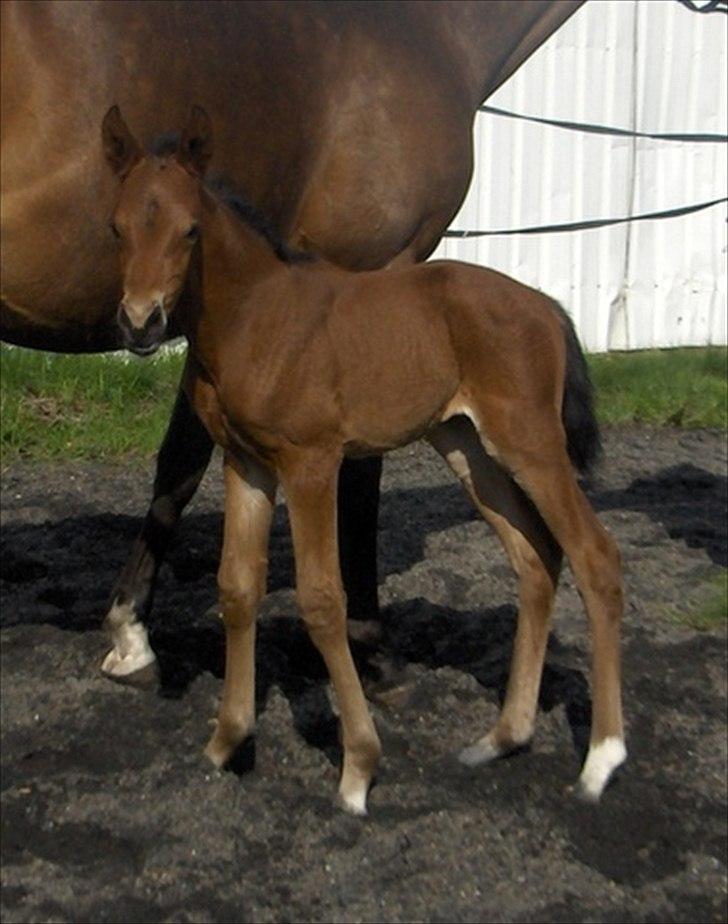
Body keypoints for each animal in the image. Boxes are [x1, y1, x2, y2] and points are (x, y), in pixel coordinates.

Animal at [0, 0, 580, 680]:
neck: (425, 30)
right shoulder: (373, 265)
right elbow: (358, 471)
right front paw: (366, 637)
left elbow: (180, 463)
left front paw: (130, 629)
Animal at [102, 108, 624, 812]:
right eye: (117, 227)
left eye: (190, 231)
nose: (141, 323)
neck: (256, 317)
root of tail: (544, 306)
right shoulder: (247, 464)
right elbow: (237, 588)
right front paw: (225, 743)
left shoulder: (311, 463)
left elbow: (324, 600)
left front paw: (357, 770)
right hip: (468, 448)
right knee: (535, 556)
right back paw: (502, 737)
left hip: (532, 443)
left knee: (594, 554)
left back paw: (601, 760)